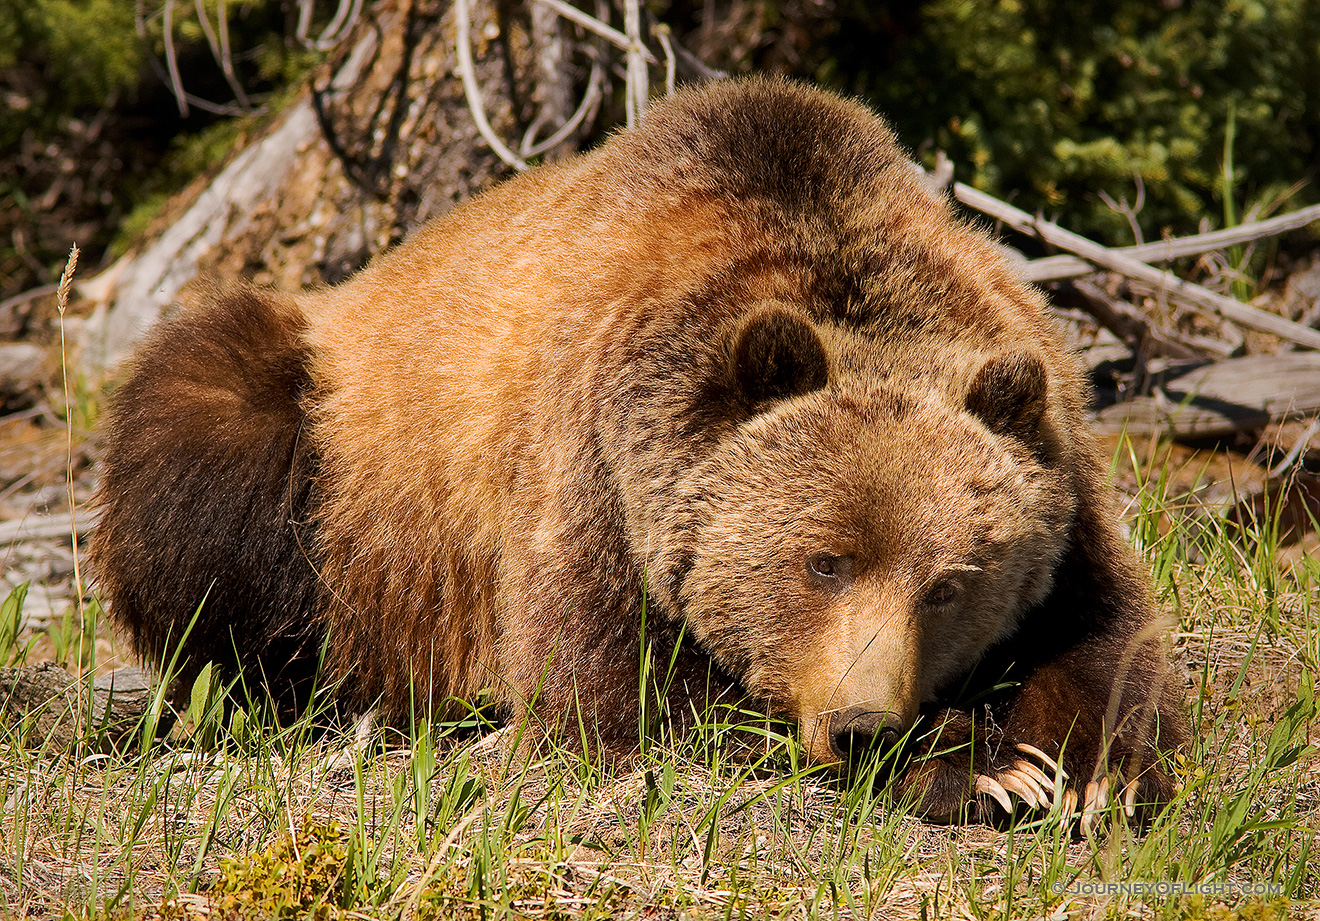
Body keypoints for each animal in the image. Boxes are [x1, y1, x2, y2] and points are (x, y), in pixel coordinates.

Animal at [93, 78, 1188, 823]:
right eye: (823, 560)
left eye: (952, 583)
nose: (863, 723)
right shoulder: (590, 477)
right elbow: (619, 697)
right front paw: (979, 764)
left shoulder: (1060, 477)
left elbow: (1109, 640)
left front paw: (1055, 768)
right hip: (335, 449)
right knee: (204, 441)